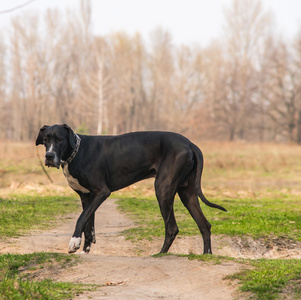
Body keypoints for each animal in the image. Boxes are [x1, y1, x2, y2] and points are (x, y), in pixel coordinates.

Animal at [35, 123, 225, 253]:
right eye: (45, 140)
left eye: (60, 140)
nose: (49, 156)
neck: (76, 152)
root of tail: (189, 143)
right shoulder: (86, 196)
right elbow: (89, 224)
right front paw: (85, 250)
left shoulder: (101, 192)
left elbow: (81, 219)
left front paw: (74, 242)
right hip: (187, 193)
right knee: (204, 225)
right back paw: (206, 255)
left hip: (163, 189)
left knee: (172, 228)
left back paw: (160, 254)